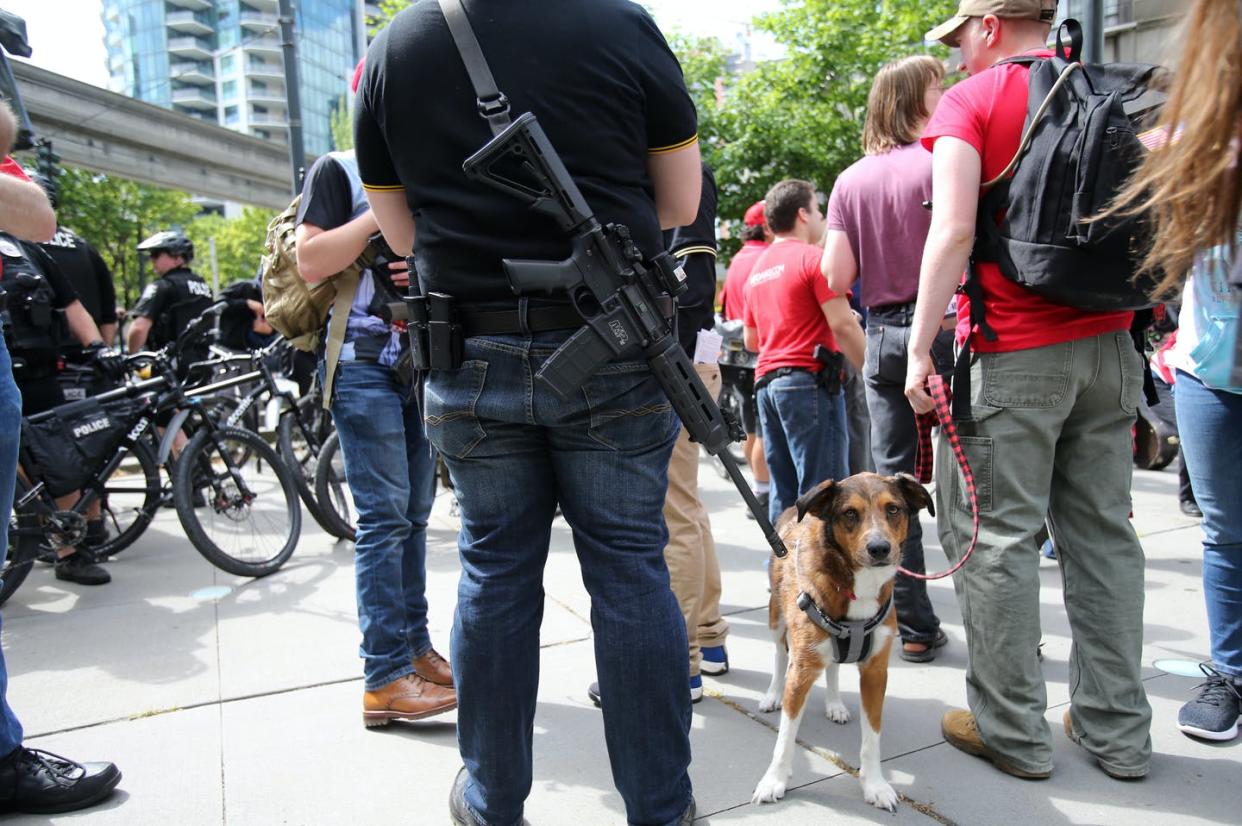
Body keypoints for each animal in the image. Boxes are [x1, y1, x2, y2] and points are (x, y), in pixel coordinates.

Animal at [750, 474, 933, 809]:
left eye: (893, 509)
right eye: (849, 513)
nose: (879, 548)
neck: (858, 585)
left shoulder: (875, 672)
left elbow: (872, 737)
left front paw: (875, 785)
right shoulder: (801, 671)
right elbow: (785, 738)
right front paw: (774, 781)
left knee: (833, 666)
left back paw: (835, 705)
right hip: (776, 619)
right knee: (780, 656)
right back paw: (772, 695)